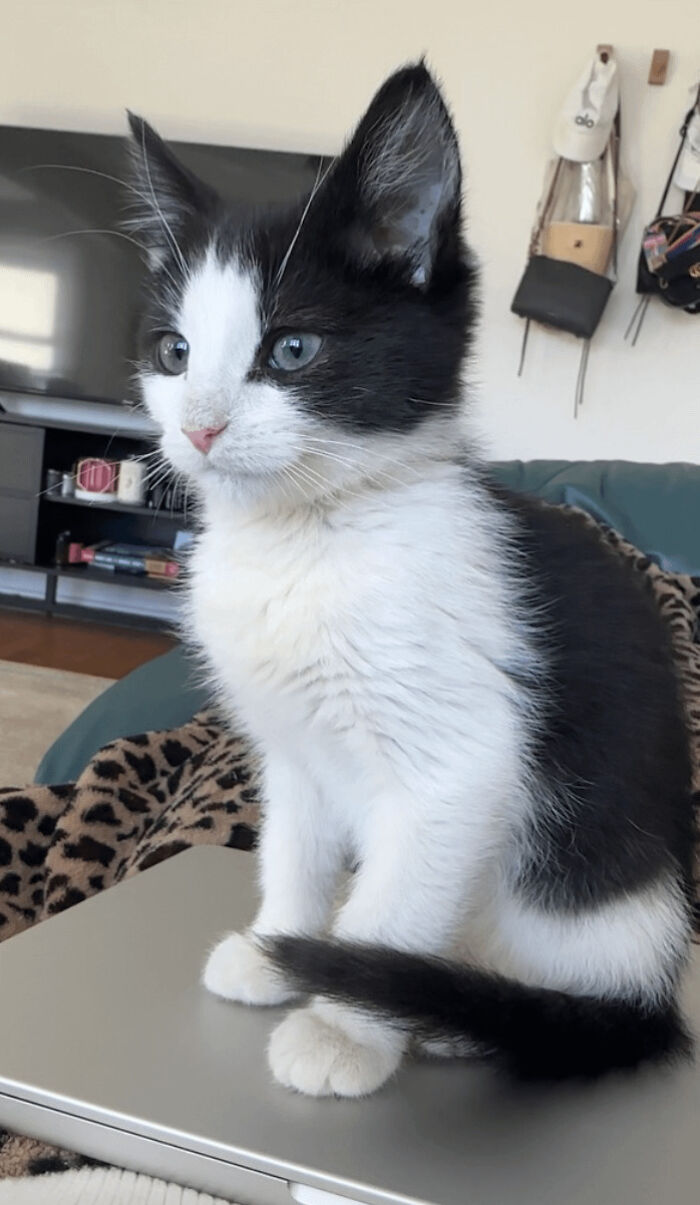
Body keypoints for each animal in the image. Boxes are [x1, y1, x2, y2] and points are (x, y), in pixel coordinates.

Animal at [127, 65, 693, 1098]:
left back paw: (462, 1018)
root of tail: (658, 997)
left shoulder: (460, 768)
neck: (309, 539)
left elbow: (390, 906)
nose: (200, 427)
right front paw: (278, 946)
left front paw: (340, 1026)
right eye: (174, 353)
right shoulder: (294, 751)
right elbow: (295, 848)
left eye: (293, 350)